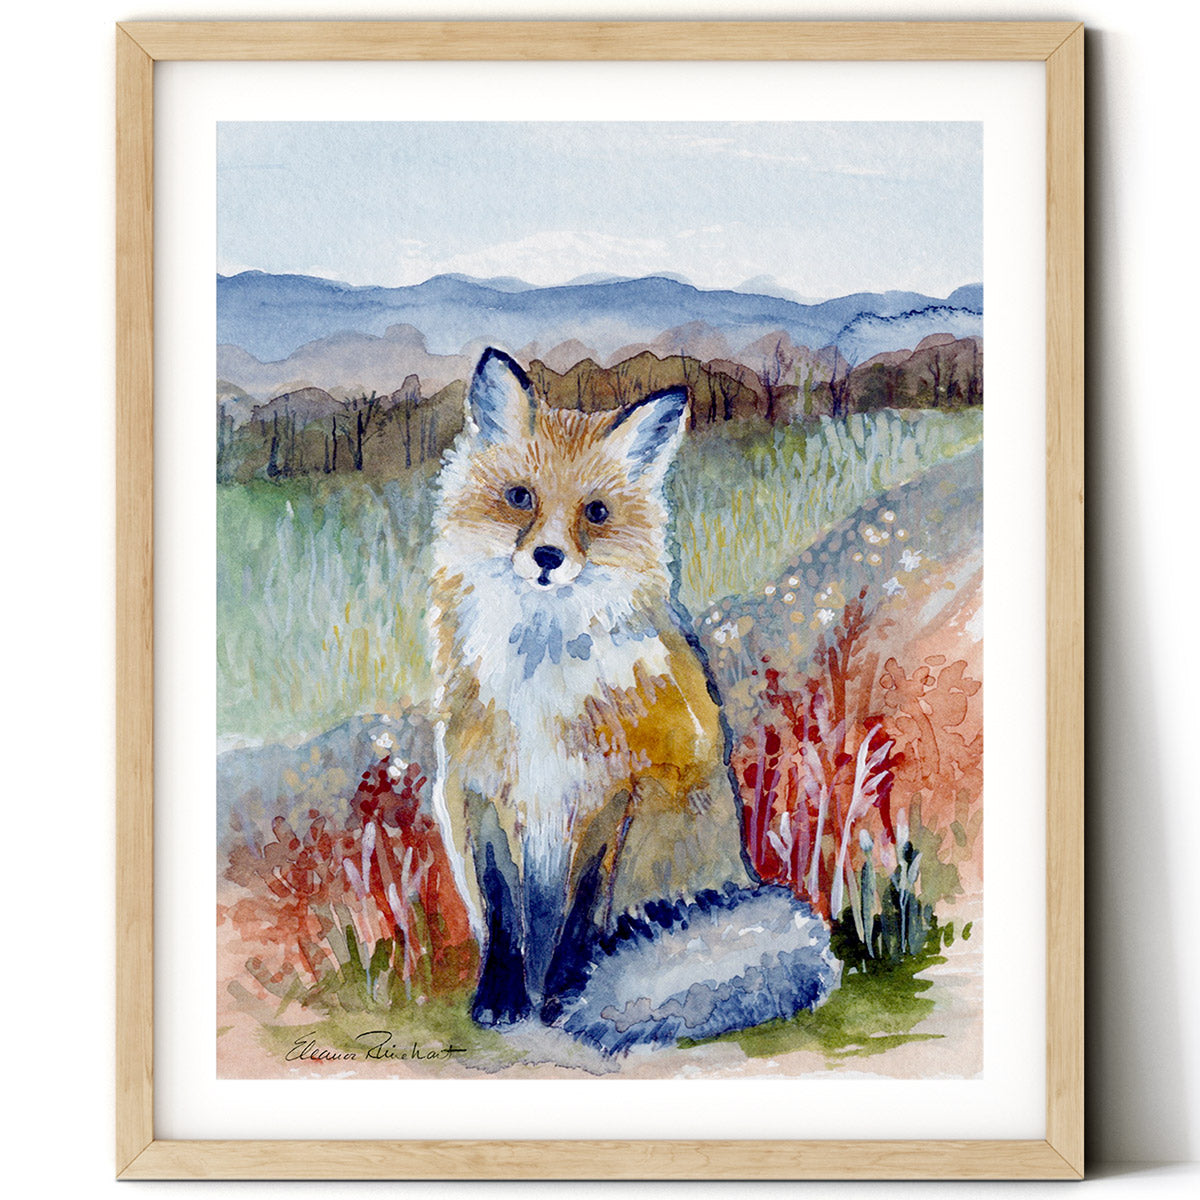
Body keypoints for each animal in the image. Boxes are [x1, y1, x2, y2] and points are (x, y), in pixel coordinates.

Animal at [428, 348, 839, 1054]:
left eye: (594, 513)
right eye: (519, 498)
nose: (547, 557)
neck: (543, 671)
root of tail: (742, 879)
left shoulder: (610, 796)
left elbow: (582, 914)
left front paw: (566, 993)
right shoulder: (484, 794)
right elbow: (505, 917)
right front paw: (501, 999)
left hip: (659, 821)